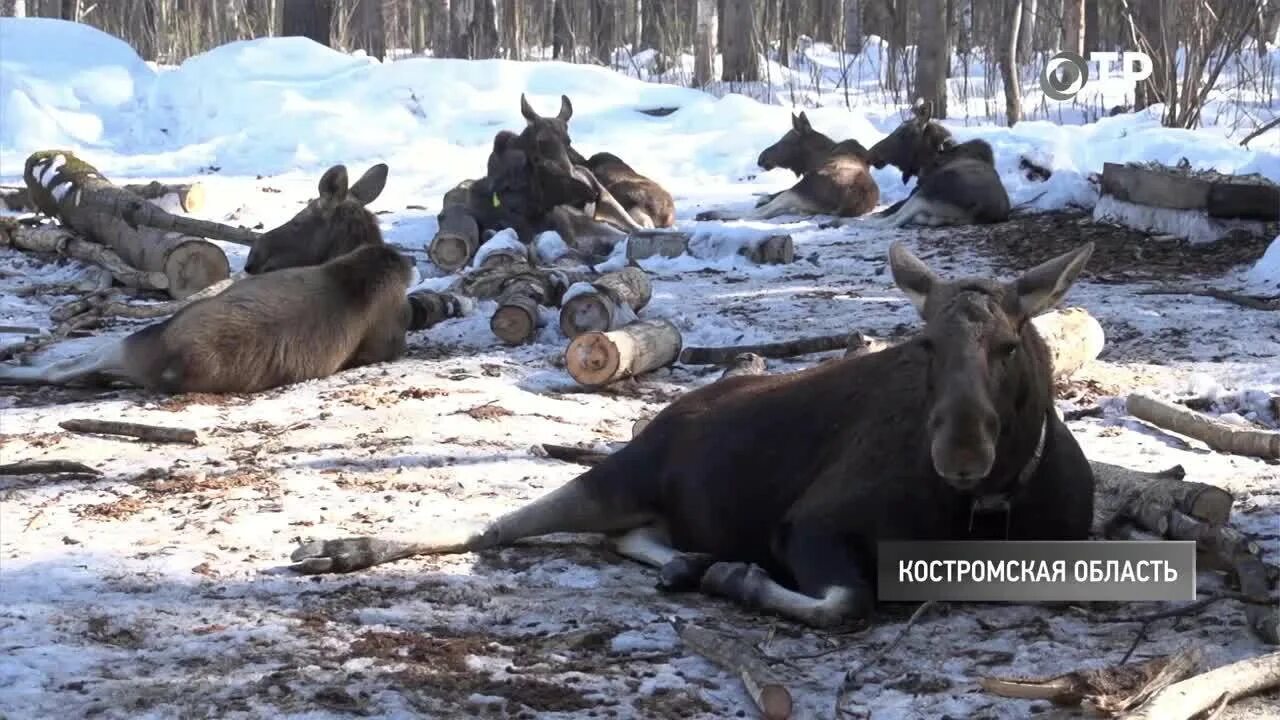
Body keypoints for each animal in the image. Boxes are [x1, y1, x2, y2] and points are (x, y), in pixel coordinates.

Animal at [289, 240, 1098, 629]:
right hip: (622, 473)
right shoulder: (810, 523)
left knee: (626, 537)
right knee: (496, 524)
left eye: (1011, 344)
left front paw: (719, 571)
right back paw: (340, 547)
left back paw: (689, 560)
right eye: (924, 343)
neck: (994, 503)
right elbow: (849, 602)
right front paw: (738, 578)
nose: (961, 453)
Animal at [696, 111, 880, 222]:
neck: (816, 158)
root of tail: (850, 203)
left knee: (755, 215)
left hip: (799, 192)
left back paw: (709, 214)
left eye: (784, 140)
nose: (761, 158)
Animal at [856, 100, 1011, 229]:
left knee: (892, 221)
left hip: (925, 193)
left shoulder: (917, 191)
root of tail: (977, 213)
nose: (870, 154)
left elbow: (890, 209)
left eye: (902, 133)